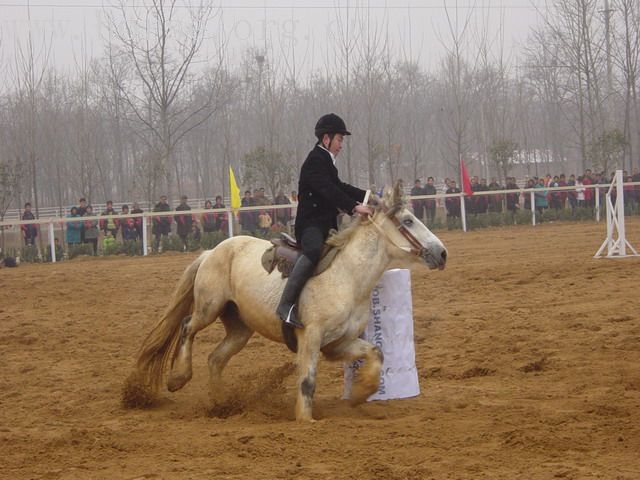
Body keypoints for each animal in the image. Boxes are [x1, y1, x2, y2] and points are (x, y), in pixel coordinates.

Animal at [124, 182, 444, 422]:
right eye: (408, 221)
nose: (442, 253)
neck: (347, 276)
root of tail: (212, 251)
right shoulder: (310, 337)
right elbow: (307, 380)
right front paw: (305, 419)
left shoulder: (337, 344)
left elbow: (376, 353)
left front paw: (360, 393)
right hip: (208, 307)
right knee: (187, 326)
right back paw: (179, 378)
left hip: (240, 328)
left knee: (215, 358)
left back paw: (222, 404)